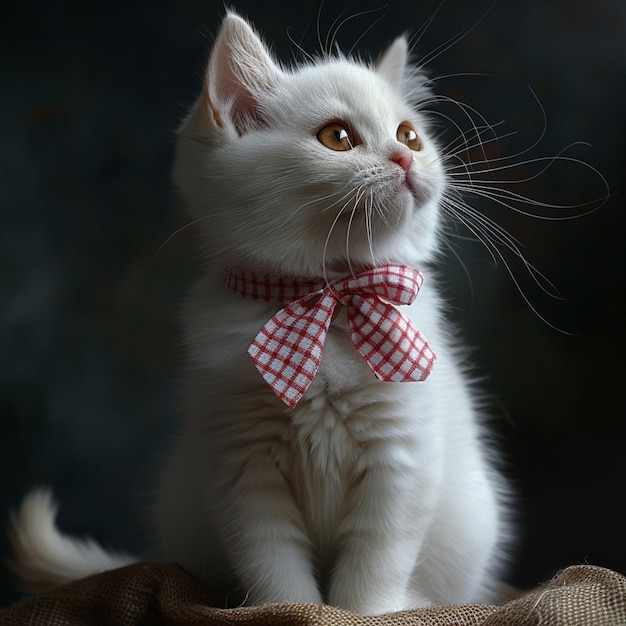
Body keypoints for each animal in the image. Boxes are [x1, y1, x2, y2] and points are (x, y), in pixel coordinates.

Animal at [8, 12, 508, 612]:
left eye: (410, 134)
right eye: (338, 137)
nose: (406, 157)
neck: (327, 307)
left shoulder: (402, 455)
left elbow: (374, 560)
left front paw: (365, 611)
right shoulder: (240, 466)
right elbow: (272, 564)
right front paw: (292, 610)